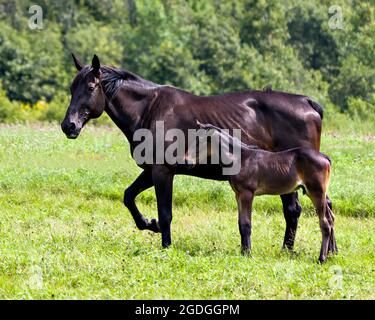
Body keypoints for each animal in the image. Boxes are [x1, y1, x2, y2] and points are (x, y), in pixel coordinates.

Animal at [200, 122, 338, 262]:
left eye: (199, 140)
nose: (192, 161)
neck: (242, 158)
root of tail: (324, 157)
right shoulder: (238, 194)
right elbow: (240, 223)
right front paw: (243, 252)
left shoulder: (247, 193)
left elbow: (246, 223)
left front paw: (248, 253)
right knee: (331, 218)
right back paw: (331, 253)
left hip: (316, 193)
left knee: (325, 222)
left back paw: (322, 258)